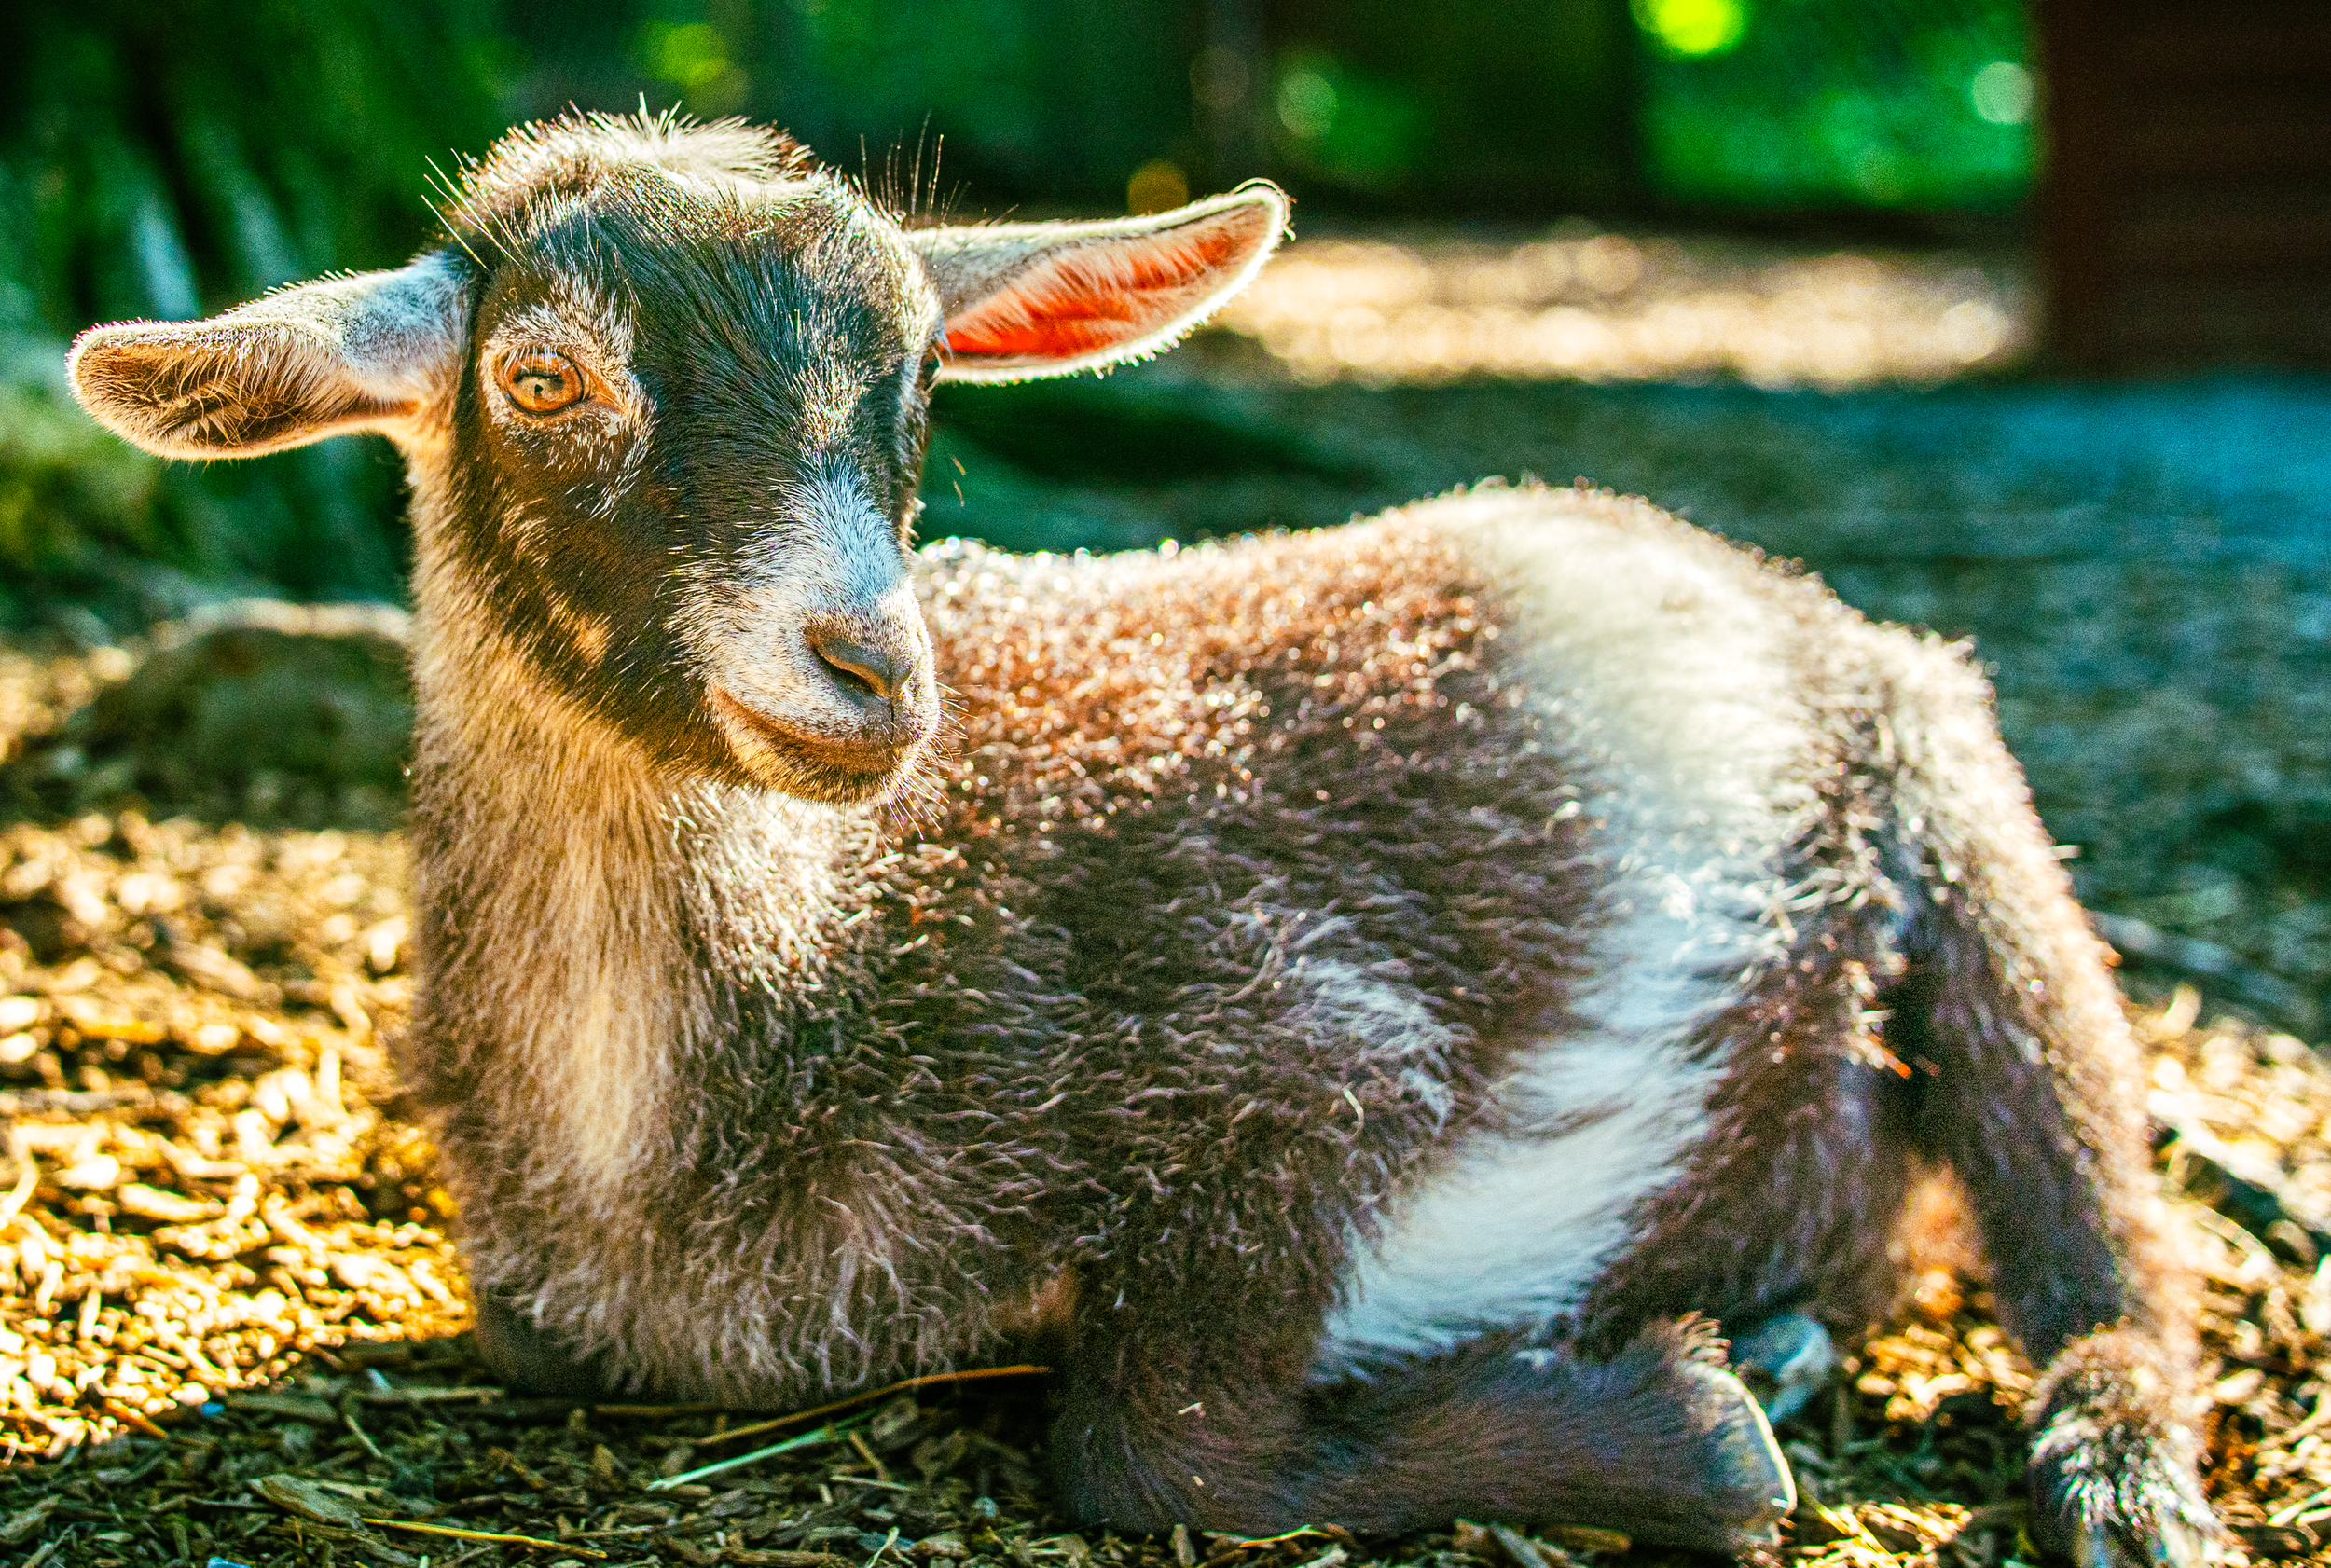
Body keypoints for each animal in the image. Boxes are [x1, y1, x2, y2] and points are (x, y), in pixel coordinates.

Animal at [69, 114, 2213, 1565]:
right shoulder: (538, 1314)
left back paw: (2109, 1473)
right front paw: (1703, 1393)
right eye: (542, 376)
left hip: (1954, 798)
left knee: (2092, 1205)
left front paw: (1683, 1430)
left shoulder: (1312, 1045)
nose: (872, 667)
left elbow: (1144, 1446)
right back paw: (1781, 1325)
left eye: (921, 382)